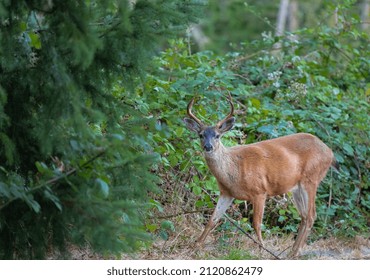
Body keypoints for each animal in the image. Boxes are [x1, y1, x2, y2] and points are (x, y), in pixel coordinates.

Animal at [184, 94, 336, 258]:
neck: (234, 170)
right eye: (201, 135)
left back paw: (295, 253)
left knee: (311, 215)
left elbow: (256, 223)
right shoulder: (226, 193)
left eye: (217, 136)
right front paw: (195, 246)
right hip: (297, 187)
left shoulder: (260, 191)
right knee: (304, 216)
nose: (208, 146)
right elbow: (213, 219)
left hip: (311, 179)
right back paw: (292, 252)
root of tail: (330, 152)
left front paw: (262, 249)